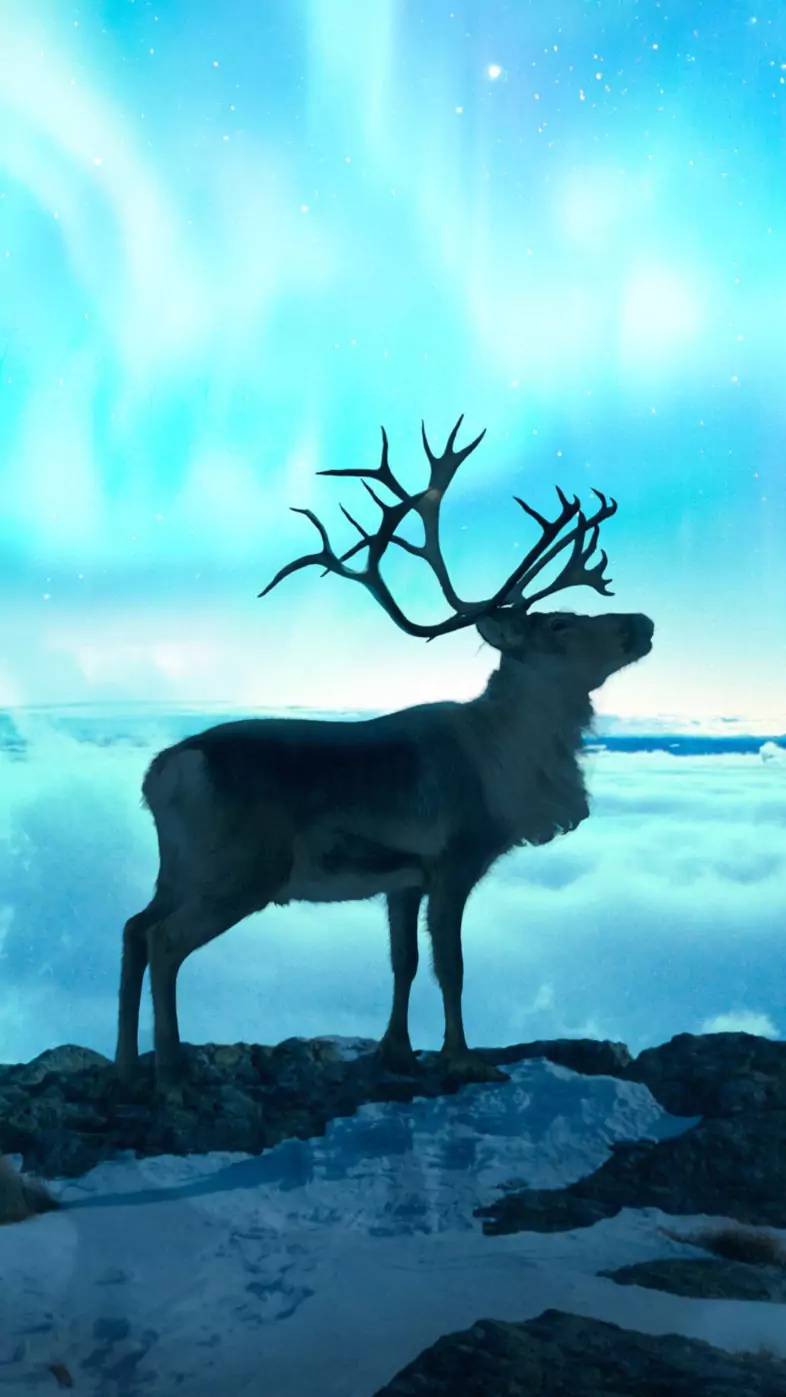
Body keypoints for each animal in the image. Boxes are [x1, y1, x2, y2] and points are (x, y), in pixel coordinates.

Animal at [115, 417, 654, 1095]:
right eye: (558, 624)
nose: (643, 622)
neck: (503, 762)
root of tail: (161, 772)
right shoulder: (455, 858)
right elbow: (451, 965)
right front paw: (462, 1058)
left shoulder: (403, 880)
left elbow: (404, 961)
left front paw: (397, 1052)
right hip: (239, 869)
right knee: (164, 940)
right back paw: (169, 1072)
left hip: (179, 866)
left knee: (133, 927)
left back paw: (124, 1064)